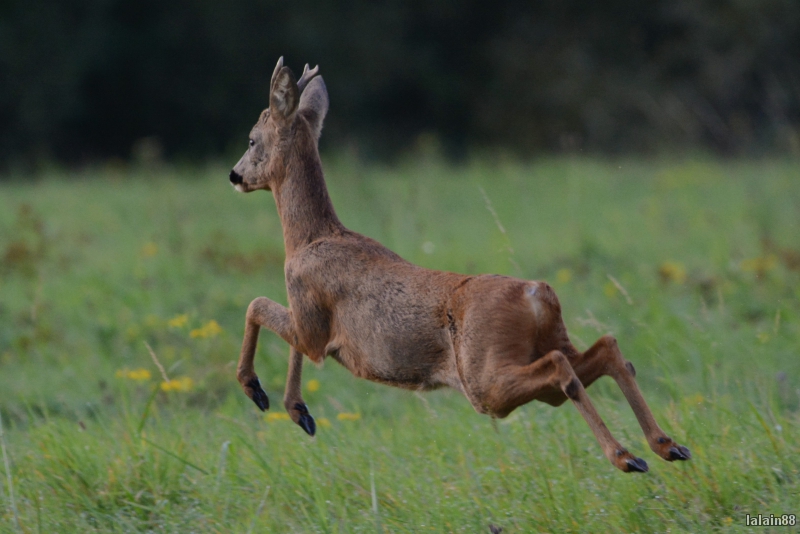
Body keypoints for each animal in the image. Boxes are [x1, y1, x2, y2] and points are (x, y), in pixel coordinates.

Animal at [228, 58, 692, 476]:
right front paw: (299, 412)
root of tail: (537, 294)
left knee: (562, 369)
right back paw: (666, 446)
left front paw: (257, 391)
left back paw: (627, 457)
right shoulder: (310, 325)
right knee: (607, 350)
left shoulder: (312, 323)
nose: (234, 176)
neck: (309, 239)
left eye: (251, 140)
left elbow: (256, 305)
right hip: (540, 348)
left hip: (483, 379)